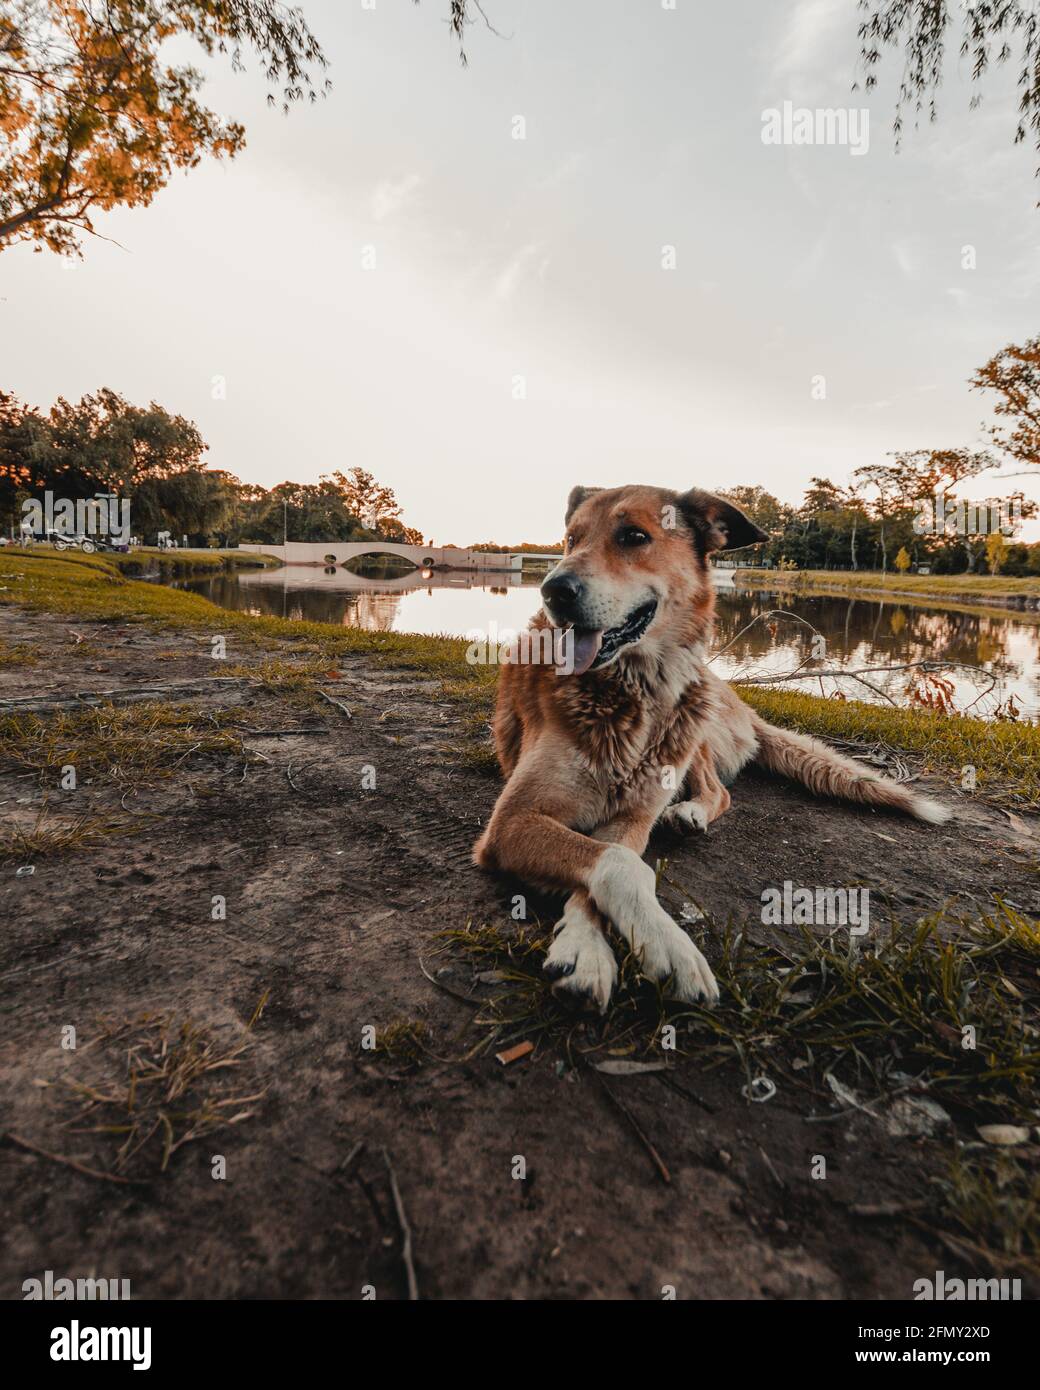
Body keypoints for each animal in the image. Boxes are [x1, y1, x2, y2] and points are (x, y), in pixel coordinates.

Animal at [475, 489, 956, 1011]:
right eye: (570, 540)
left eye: (634, 536)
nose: (552, 590)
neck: (631, 689)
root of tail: (741, 703)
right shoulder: (512, 821)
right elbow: (615, 865)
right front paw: (608, 950)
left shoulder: (632, 819)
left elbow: (619, 863)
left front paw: (609, 944)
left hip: (694, 719)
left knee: (719, 791)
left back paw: (691, 811)